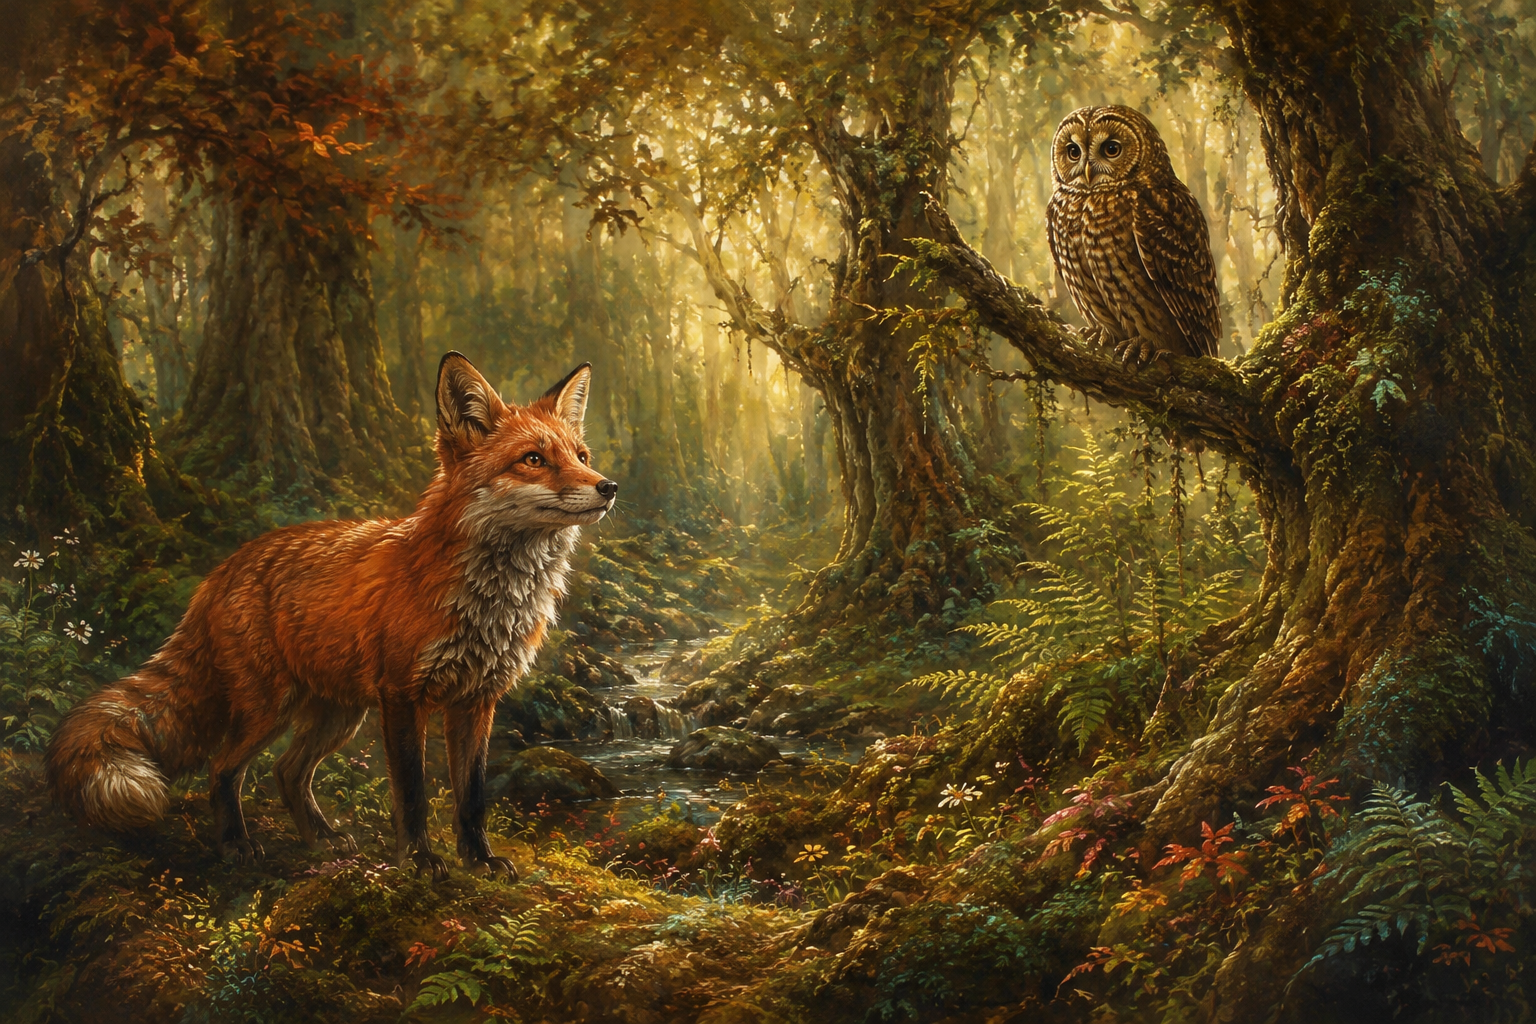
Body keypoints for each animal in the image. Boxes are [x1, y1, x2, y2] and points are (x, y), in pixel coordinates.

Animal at [45, 353, 615, 880]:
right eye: (534, 459)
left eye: (581, 456)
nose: (607, 486)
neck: (490, 600)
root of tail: (223, 569)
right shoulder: (402, 696)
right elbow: (412, 794)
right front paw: (419, 861)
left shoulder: (478, 699)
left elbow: (471, 798)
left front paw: (479, 861)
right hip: (272, 708)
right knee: (223, 767)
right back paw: (236, 845)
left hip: (338, 715)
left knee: (287, 771)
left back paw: (320, 840)